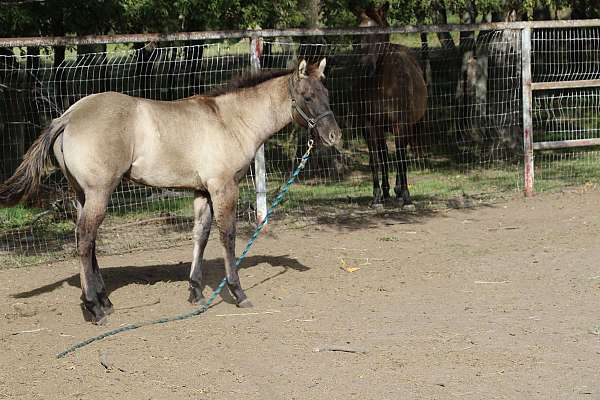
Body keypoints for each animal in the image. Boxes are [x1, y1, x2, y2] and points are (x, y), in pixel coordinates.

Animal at [0, 59, 340, 324]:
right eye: (308, 96)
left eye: (326, 93)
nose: (333, 136)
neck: (229, 120)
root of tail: (68, 115)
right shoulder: (224, 187)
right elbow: (227, 236)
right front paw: (238, 292)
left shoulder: (202, 191)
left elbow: (201, 235)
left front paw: (195, 291)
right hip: (99, 193)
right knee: (85, 239)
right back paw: (95, 308)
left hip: (83, 194)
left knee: (88, 240)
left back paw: (104, 300)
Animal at [356, 3, 426, 206]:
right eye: (358, 34)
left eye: (379, 35)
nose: (365, 68)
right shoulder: (369, 125)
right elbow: (375, 160)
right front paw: (376, 196)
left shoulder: (400, 124)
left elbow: (401, 158)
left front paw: (407, 196)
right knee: (385, 154)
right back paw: (387, 191)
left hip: (408, 126)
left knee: (401, 153)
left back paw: (399, 190)